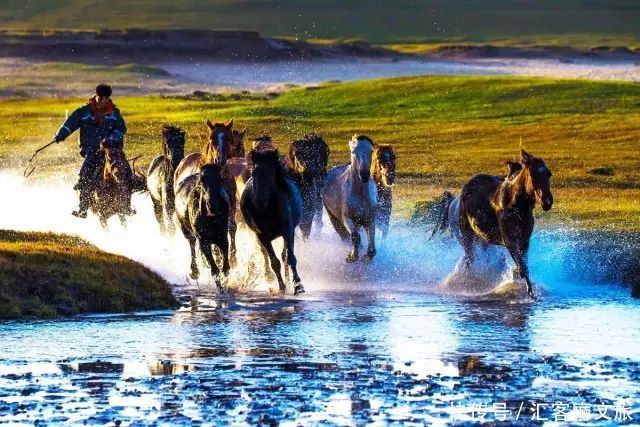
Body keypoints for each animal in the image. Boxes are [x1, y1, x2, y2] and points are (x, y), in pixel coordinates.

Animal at [242, 150, 308, 294]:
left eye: (271, 172)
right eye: (254, 172)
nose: (259, 200)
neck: (269, 209)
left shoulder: (287, 229)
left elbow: (289, 258)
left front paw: (298, 285)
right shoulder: (262, 236)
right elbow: (274, 262)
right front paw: (281, 286)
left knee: (285, 256)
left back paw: (289, 281)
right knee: (265, 254)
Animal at [452, 149, 552, 296]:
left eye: (549, 173)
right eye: (533, 174)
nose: (547, 202)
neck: (517, 206)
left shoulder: (524, 239)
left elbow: (521, 266)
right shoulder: (509, 240)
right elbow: (522, 267)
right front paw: (530, 292)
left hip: (482, 238)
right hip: (467, 235)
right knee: (470, 260)